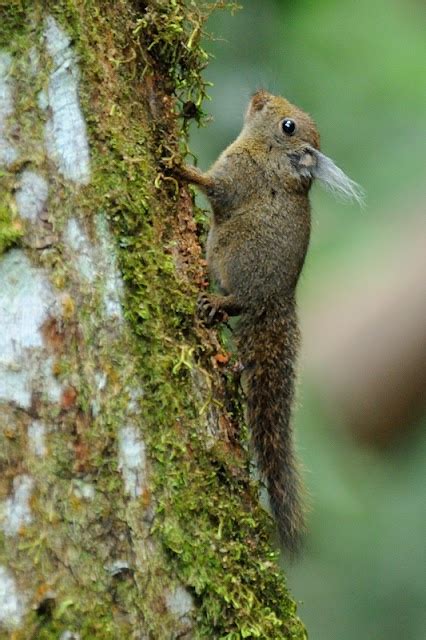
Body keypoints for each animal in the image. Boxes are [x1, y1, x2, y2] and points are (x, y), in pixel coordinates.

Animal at [176, 90, 362, 556]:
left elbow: (215, 188)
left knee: (238, 302)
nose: (259, 96)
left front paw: (177, 166)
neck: (267, 153)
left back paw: (214, 301)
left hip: (240, 265)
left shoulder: (238, 177)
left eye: (288, 126)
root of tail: (276, 304)